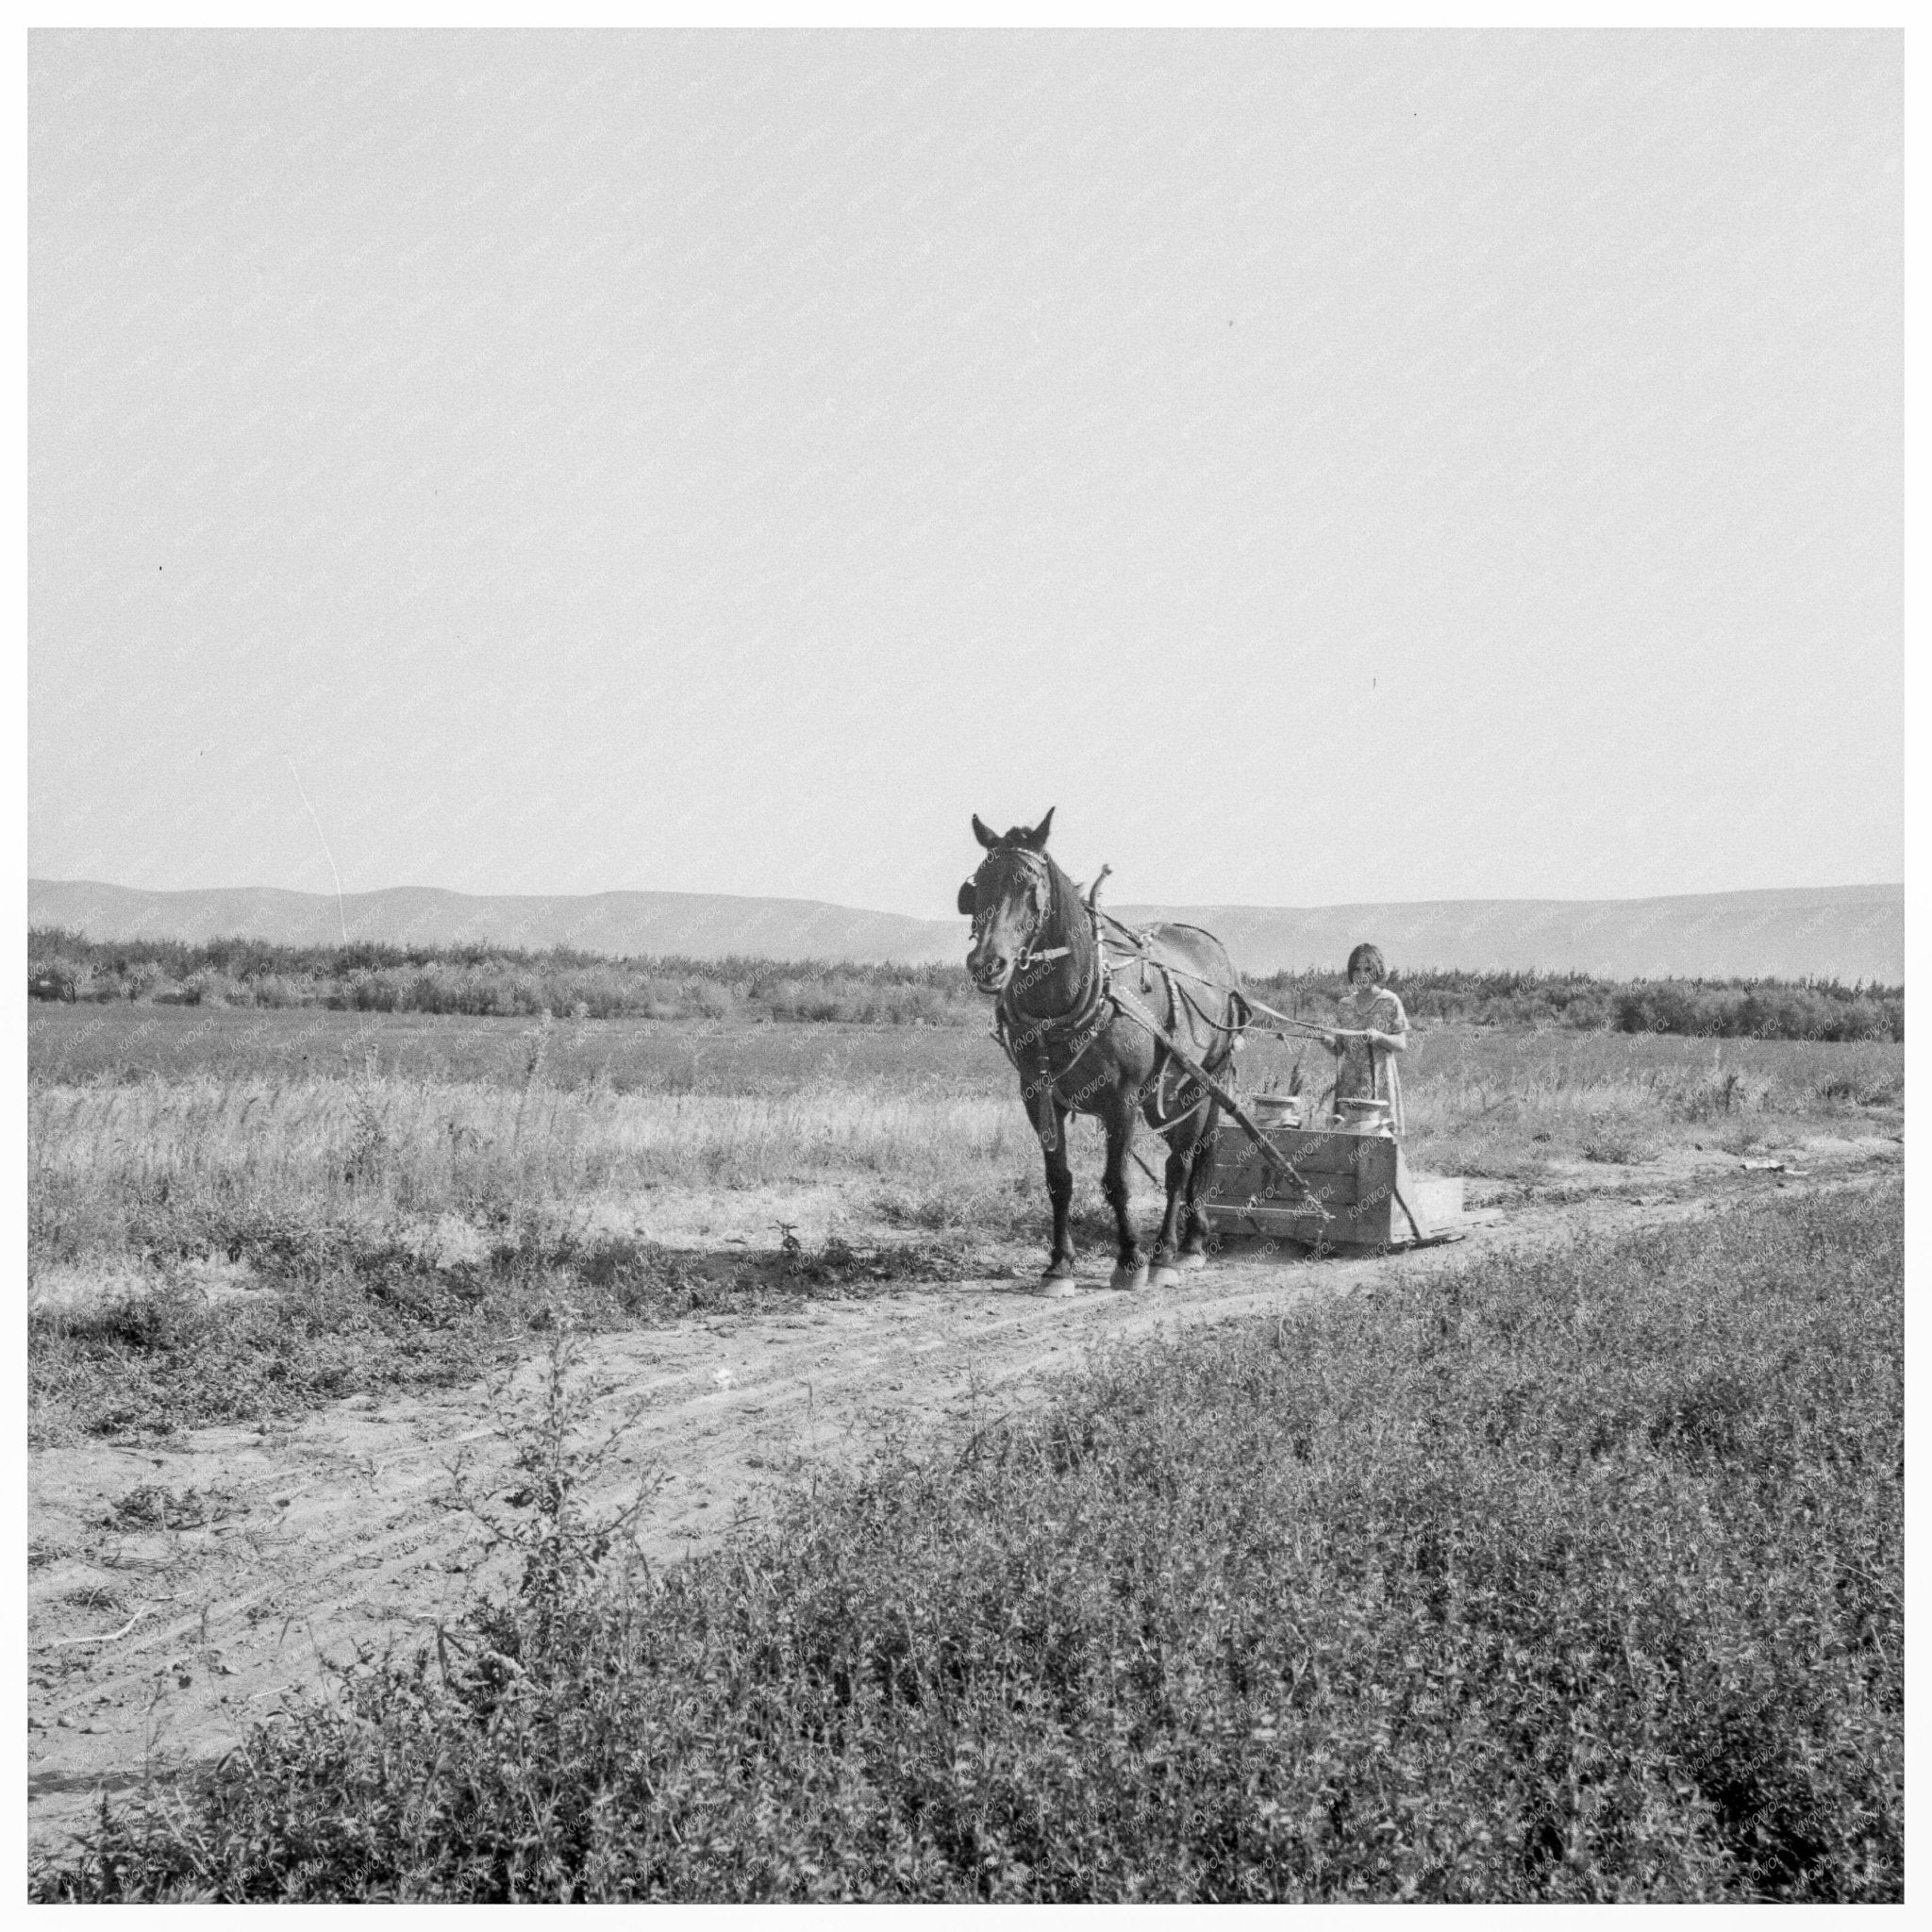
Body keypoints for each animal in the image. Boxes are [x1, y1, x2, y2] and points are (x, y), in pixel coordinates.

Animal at [954, 808, 1252, 1291]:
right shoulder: (1038, 1097)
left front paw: (1130, 1259)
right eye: (977, 884)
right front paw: (1059, 1265)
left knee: (1183, 1163)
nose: (988, 964)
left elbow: (1117, 1181)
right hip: (1162, 1097)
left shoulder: (1122, 1100)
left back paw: (1172, 1251)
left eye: (1028, 884)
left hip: (1200, 1084)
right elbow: (1058, 1180)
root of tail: (1215, 951)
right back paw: (1188, 1241)